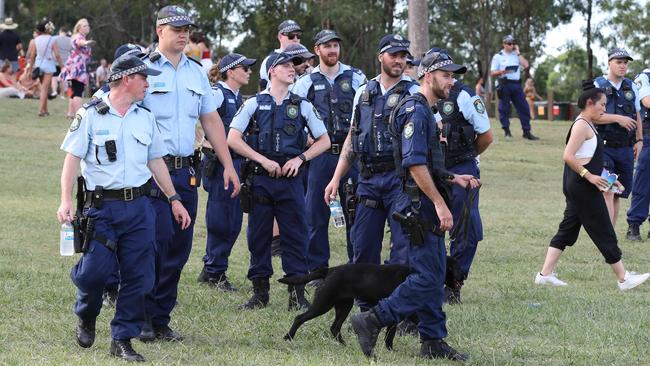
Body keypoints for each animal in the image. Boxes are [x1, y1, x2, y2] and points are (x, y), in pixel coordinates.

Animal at [278, 258, 460, 348]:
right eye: (452, 267)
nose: (461, 278)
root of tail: (330, 270)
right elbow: (390, 336)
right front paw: (390, 350)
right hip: (323, 303)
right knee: (300, 318)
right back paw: (288, 337)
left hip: (344, 306)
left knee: (334, 327)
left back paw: (344, 345)